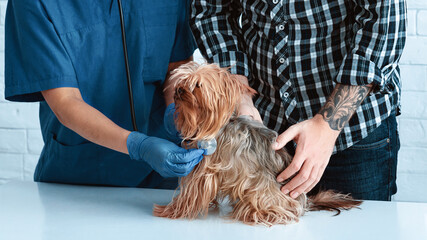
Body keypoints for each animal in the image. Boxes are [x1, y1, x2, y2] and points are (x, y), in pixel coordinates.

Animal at [154, 62, 362, 227]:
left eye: (197, 85)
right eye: (182, 80)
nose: (179, 90)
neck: (213, 125)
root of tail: (303, 202)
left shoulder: (203, 171)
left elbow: (189, 195)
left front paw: (169, 211)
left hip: (261, 194)